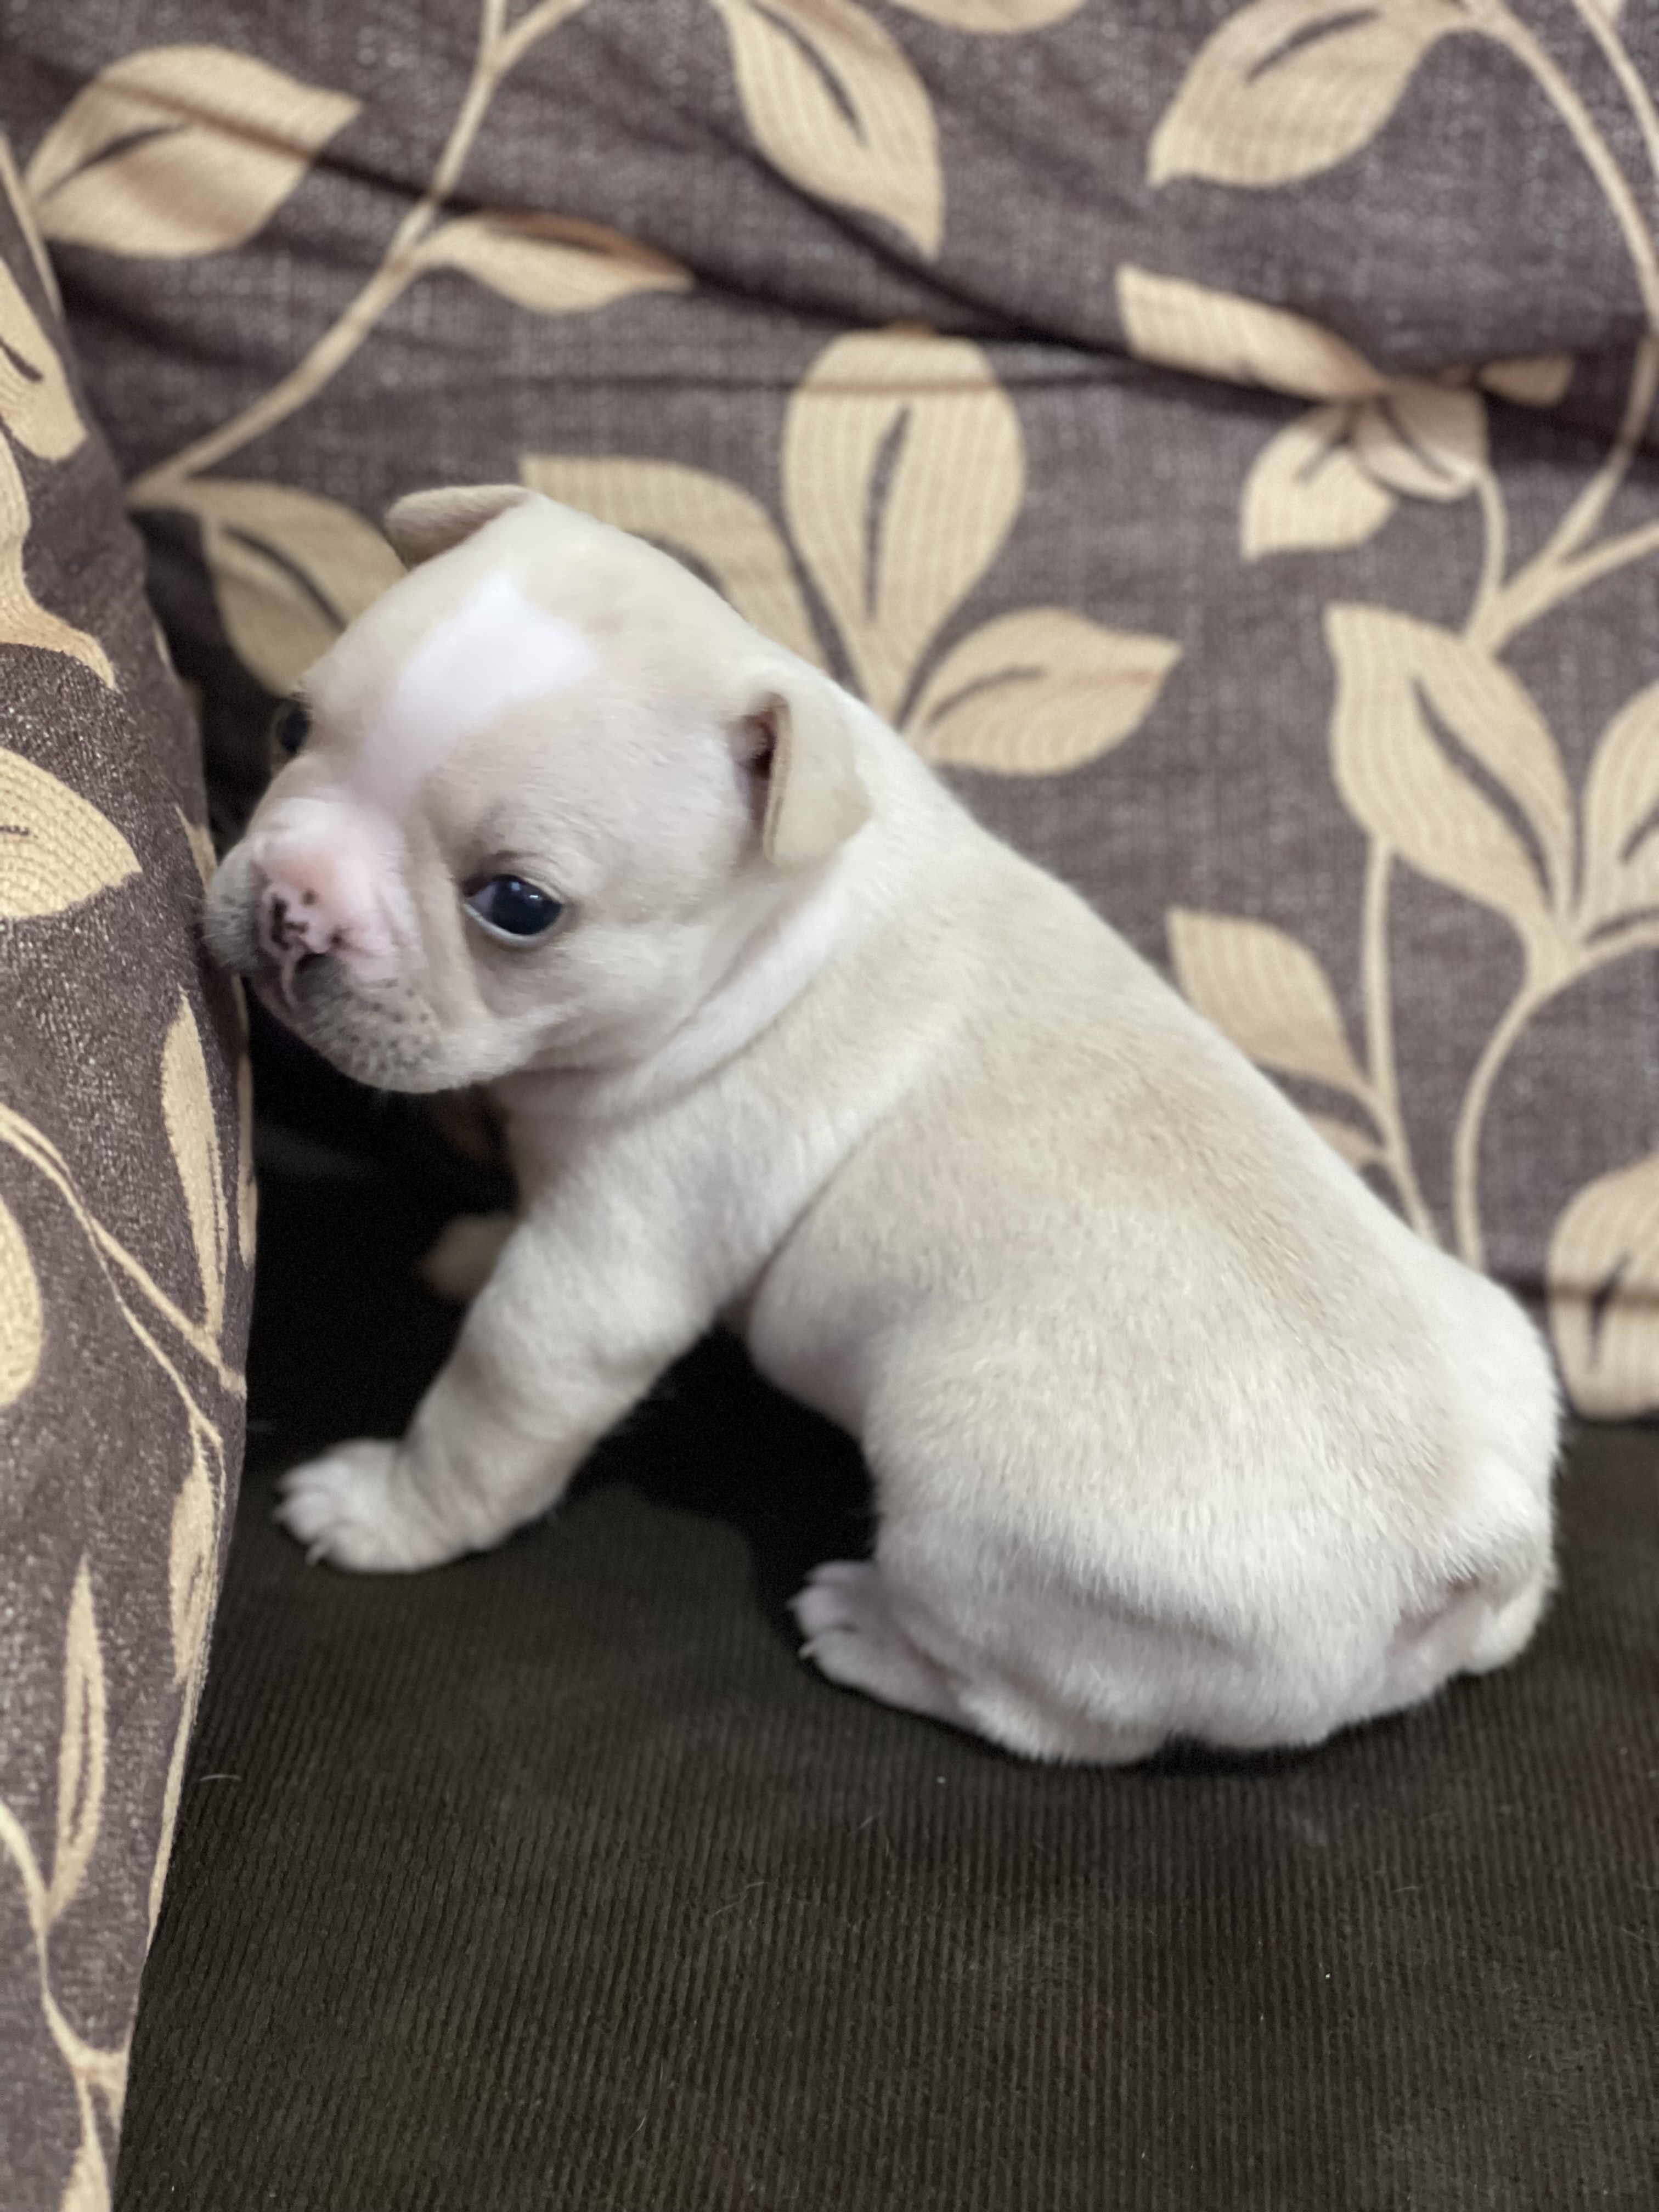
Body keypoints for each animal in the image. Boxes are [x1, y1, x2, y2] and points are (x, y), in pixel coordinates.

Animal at [201, 489, 1566, 1760]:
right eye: (289, 727)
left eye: (519, 907)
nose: (295, 901)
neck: (774, 916)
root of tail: (1463, 1540)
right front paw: (476, 1245)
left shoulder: (601, 1277)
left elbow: (488, 1410)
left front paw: (383, 1514)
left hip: (980, 1511)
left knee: (1058, 1716)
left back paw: (868, 1633)